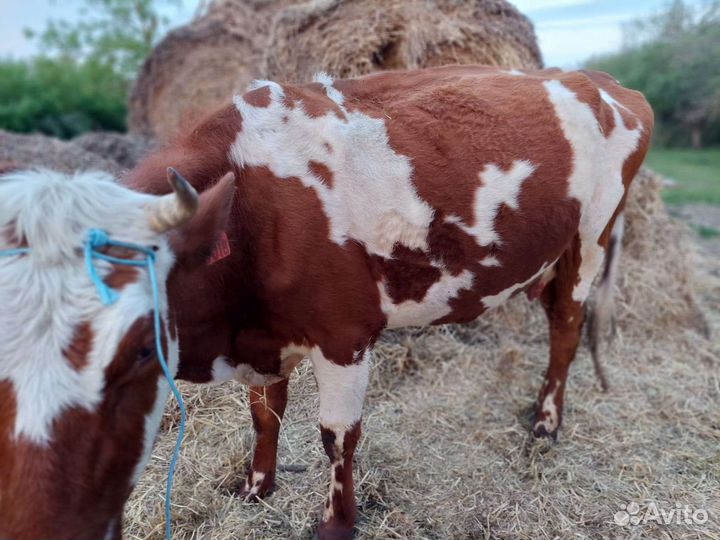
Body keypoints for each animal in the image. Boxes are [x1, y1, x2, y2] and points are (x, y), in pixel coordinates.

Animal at [123, 64, 653, 540]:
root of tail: (600, 81)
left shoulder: (345, 336)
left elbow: (337, 436)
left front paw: (337, 525)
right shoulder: (265, 336)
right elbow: (264, 415)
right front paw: (256, 488)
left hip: (590, 239)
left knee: (565, 328)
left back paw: (545, 426)